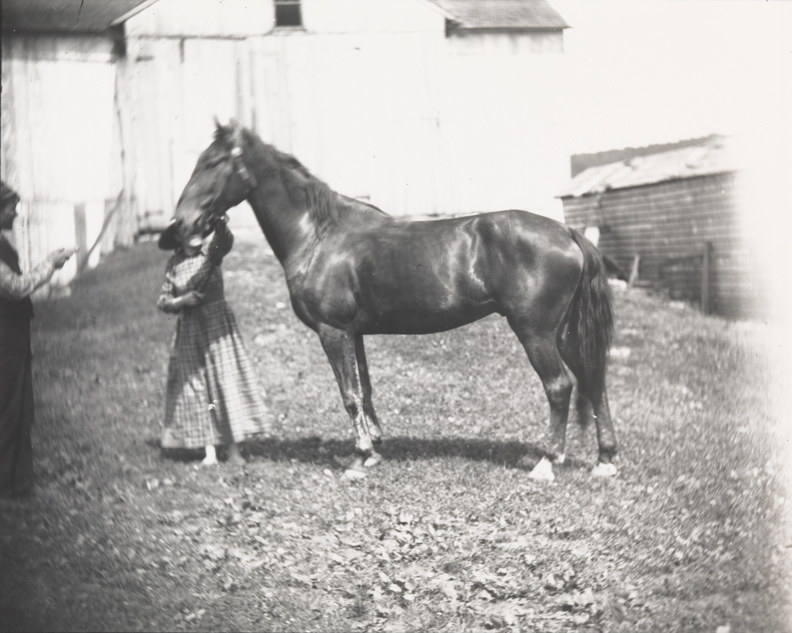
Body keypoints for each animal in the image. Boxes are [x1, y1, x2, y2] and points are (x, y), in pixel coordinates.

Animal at [171, 120, 618, 481]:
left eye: (212, 163)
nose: (181, 224)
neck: (319, 236)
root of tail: (567, 232)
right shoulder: (354, 333)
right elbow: (365, 390)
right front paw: (373, 450)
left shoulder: (332, 332)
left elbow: (349, 395)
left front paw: (358, 457)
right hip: (564, 333)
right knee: (593, 380)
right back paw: (605, 461)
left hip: (535, 332)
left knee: (560, 386)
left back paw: (547, 463)